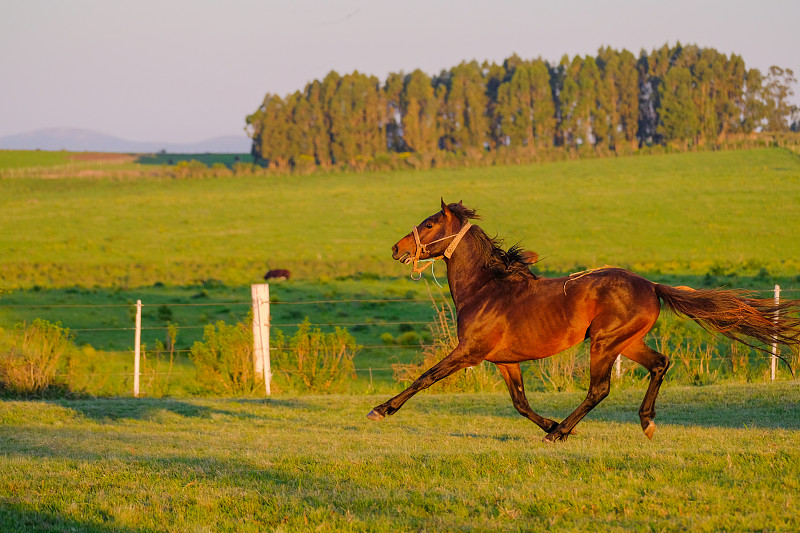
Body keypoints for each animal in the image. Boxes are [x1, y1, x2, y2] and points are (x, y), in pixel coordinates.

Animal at [368, 200, 800, 440]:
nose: (395, 248)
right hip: (626, 342)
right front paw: (547, 423)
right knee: (660, 364)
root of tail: (650, 285)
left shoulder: (468, 352)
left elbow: (424, 378)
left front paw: (381, 410)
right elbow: (520, 404)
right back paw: (643, 422)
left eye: (428, 224)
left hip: (604, 343)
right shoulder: (506, 361)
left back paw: (562, 432)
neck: (486, 288)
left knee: (600, 389)